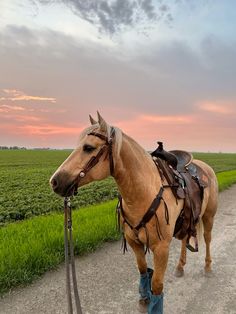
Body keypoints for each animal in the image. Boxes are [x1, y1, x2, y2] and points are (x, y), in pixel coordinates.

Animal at [49, 113, 218, 314]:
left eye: (88, 147)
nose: (55, 182)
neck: (143, 192)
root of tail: (204, 166)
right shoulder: (134, 242)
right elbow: (143, 270)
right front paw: (144, 298)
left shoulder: (161, 248)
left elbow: (157, 284)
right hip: (187, 220)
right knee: (185, 239)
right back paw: (180, 266)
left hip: (209, 216)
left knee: (207, 239)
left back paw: (208, 267)